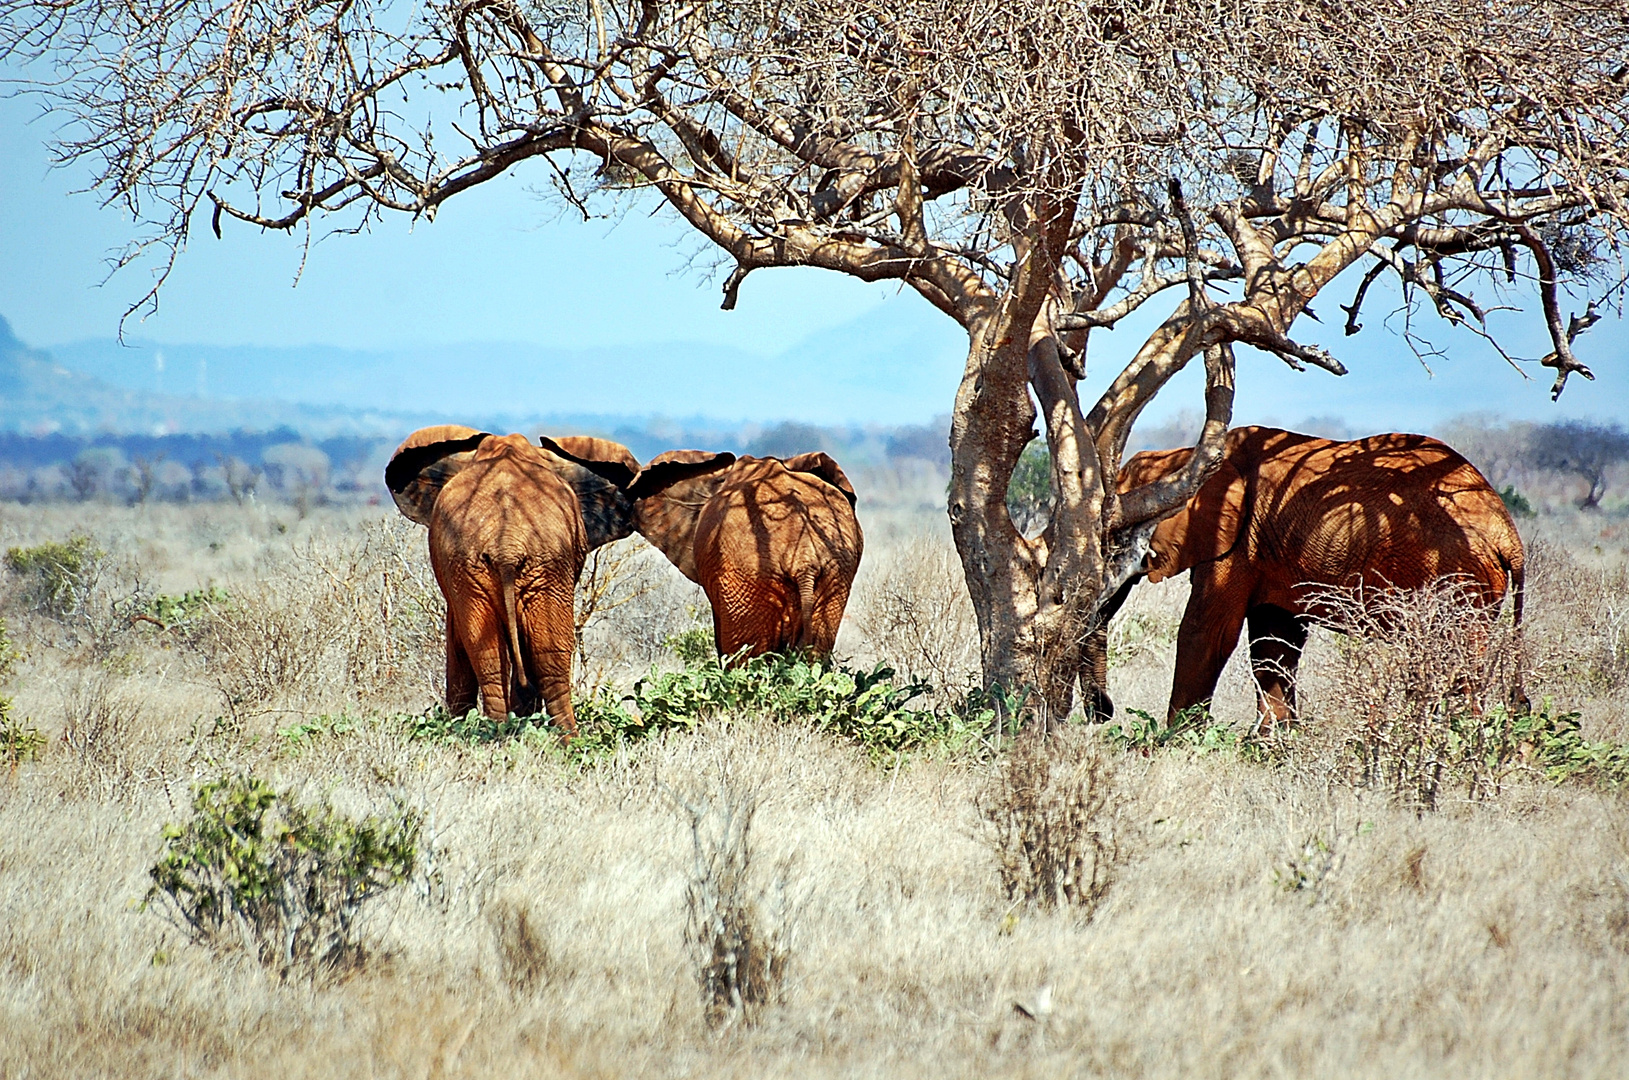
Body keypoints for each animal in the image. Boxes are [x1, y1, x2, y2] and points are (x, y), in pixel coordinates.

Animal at [384, 423, 645, 736]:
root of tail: (505, 543)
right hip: (503, 565)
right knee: (531, 655)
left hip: (529, 564)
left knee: (512, 654)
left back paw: (509, 733)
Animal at [1088, 426, 1518, 723]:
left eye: (1117, 540)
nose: (1103, 713)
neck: (1184, 458)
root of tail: (1507, 533)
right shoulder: (1267, 549)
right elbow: (1275, 643)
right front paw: (1271, 748)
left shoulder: (1238, 543)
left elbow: (1206, 632)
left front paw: (1170, 746)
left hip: (1458, 583)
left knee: (1452, 661)